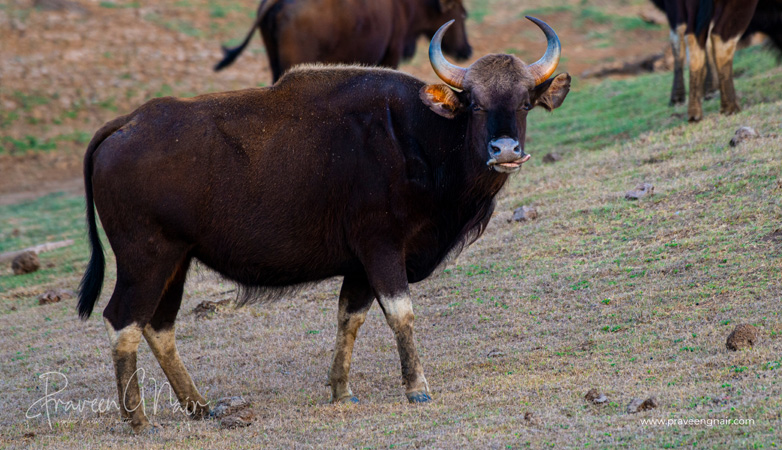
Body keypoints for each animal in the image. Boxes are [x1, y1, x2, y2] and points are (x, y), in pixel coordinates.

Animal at [79, 17, 568, 432]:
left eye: (525, 102)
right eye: (476, 105)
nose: (506, 151)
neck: (414, 138)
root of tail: (126, 123)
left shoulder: (358, 265)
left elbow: (349, 317)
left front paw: (341, 390)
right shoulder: (381, 248)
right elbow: (400, 313)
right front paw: (417, 388)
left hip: (176, 261)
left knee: (158, 326)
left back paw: (199, 407)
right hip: (146, 258)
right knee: (123, 321)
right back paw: (138, 419)